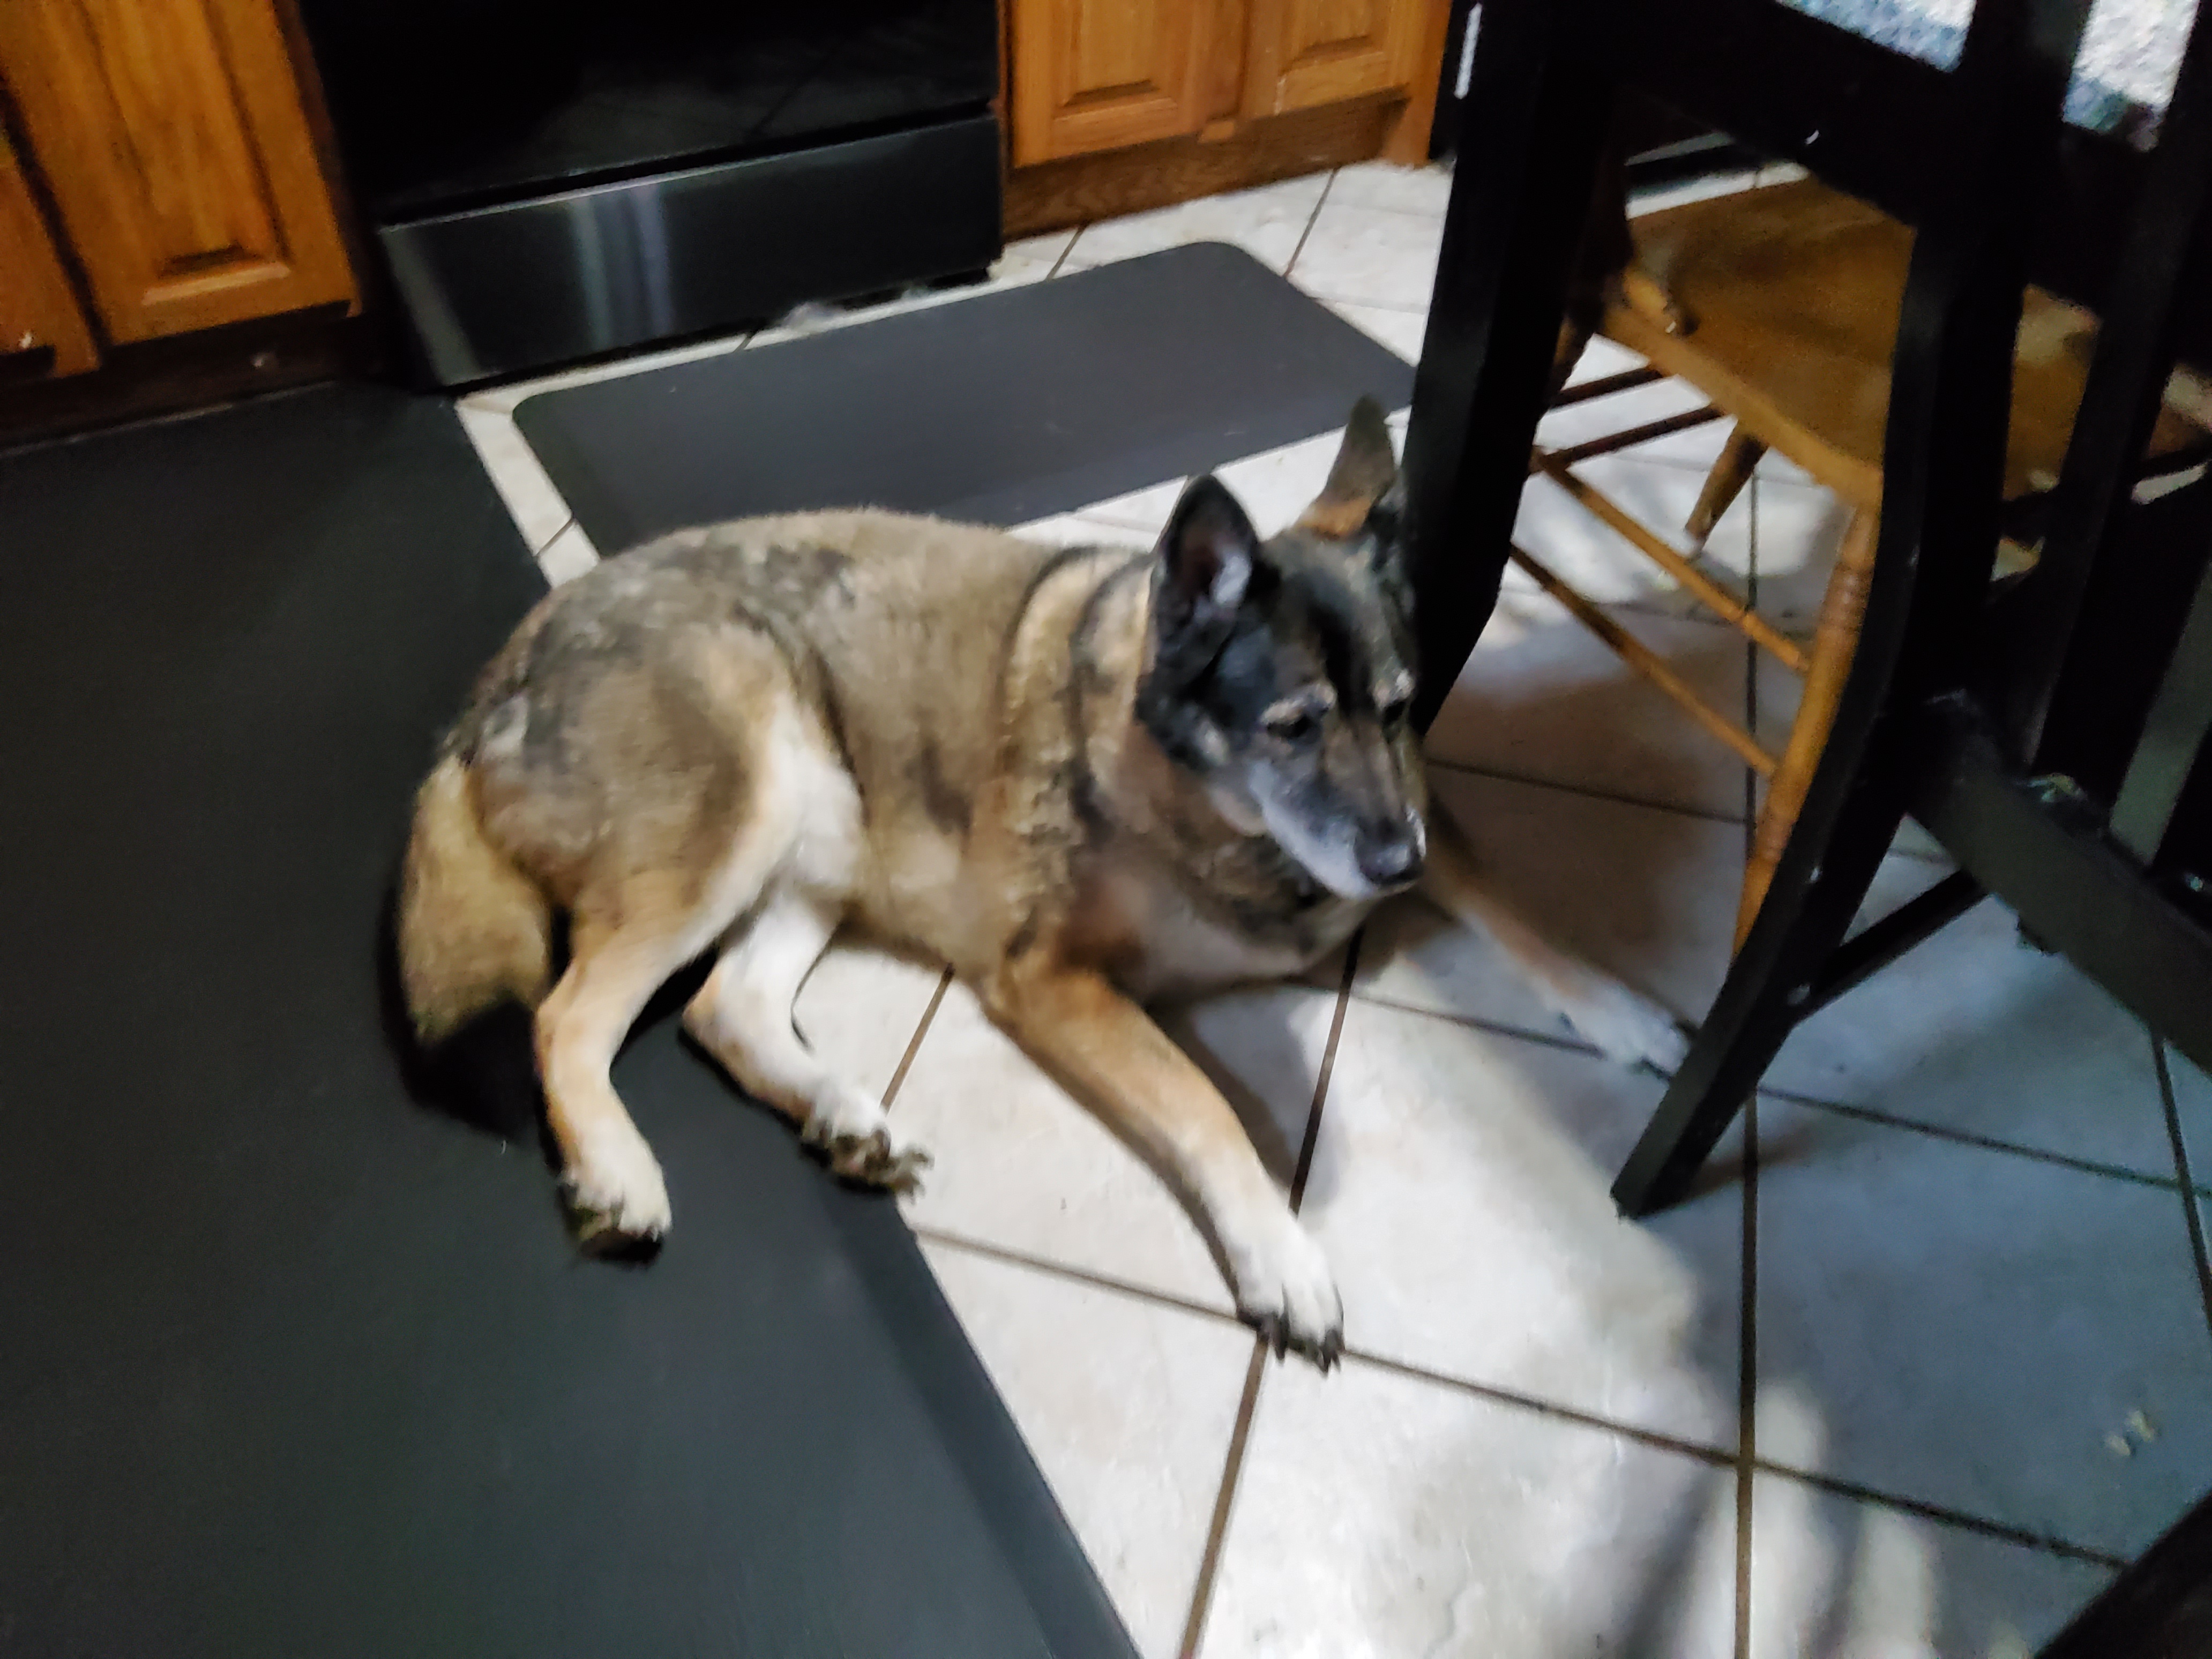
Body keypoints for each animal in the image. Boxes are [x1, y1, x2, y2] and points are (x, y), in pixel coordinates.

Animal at [397, 398, 1687, 1367]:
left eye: (1400, 708)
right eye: (1292, 725)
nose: (1392, 865)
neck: (1203, 799)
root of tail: (505, 663)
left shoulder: (1426, 810)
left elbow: (1517, 904)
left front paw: (1622, 1010)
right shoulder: (1052, 983)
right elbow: (1209, 1110)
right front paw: (1278, 1254)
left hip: (818, 846)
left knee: (724, 1009)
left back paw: (842, 1116)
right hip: (738, 816)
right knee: (569, 1017)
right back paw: (619, 1169)